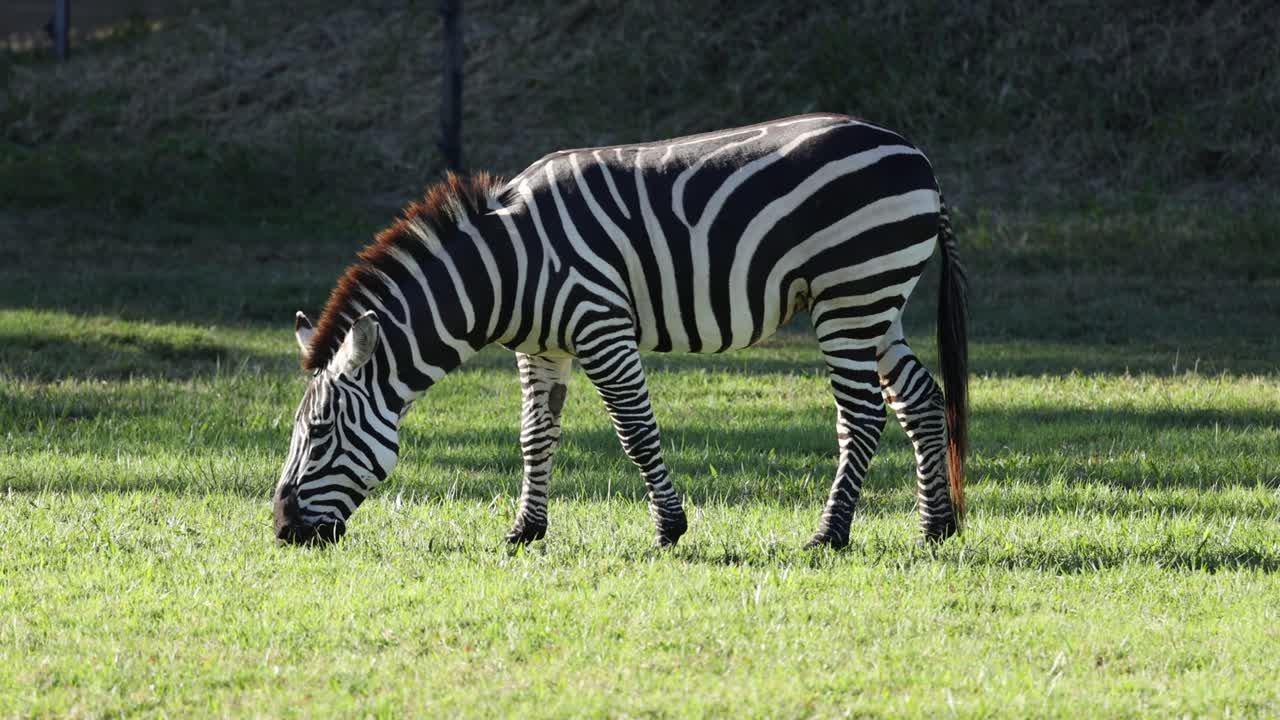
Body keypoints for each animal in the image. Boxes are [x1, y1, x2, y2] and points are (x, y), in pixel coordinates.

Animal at [273, 113, 969, 549]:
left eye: (319, 433)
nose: (281, 530)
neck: (505, 268)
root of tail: (918, 157)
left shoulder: (600, 323)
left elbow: (635, 431)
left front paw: (670, 529)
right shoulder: (541, 348)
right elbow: (535, 437)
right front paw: (525, 531)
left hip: (850, 293)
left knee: (862, 415)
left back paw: (829, 535)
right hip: (877, 300)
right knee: (920, 398)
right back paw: (936, 527)